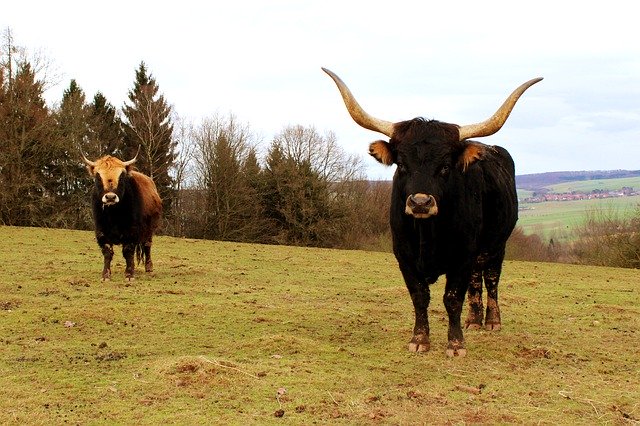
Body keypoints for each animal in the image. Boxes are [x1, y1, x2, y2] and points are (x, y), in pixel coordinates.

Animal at [322, 69, 544, 356]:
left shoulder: (462, 255)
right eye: (401, 164)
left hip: (496, 244)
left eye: (445, 166)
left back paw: (492, 321)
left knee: (491, 278)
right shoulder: (404, 255)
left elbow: (453, 298)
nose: (420, 203)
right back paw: (473, 320)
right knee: (476, 280)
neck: (427, 233)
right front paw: (419, 339)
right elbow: (419, 296)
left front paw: (456, 343)